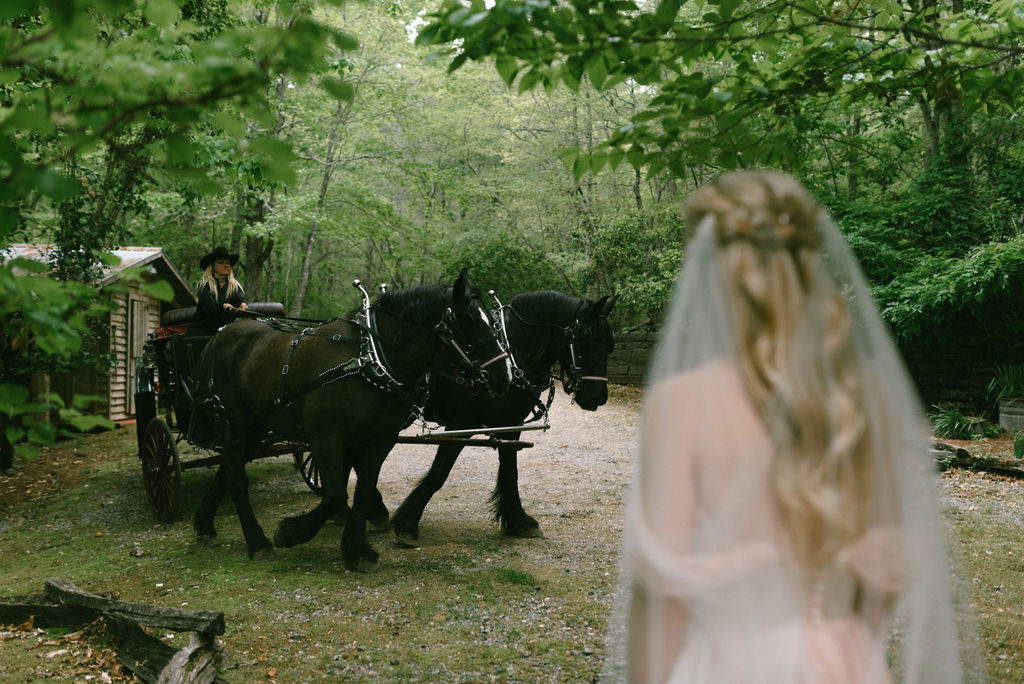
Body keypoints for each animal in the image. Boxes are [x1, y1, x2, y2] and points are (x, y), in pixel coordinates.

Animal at [185, 268, 512, 573]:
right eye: (469, 322)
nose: (504, 376)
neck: (370, 359)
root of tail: (218, 336)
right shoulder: (325, 436)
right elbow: (335, 493)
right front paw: (290, 532)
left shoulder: (381, 438)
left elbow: (364, 489)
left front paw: (358, 550)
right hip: (231, 422)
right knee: (238, 479)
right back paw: (257, 542)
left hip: (254, 427)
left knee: (227, 471)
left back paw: (205, 525)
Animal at [389, 290, 614, 544]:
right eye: (586, 339)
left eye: (609, 345)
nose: (597, 397)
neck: (512, 356)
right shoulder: (462, 423)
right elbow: (439, 471)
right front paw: (407, 522)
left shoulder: (511, 425)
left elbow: (510, 472)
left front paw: (518, 520)